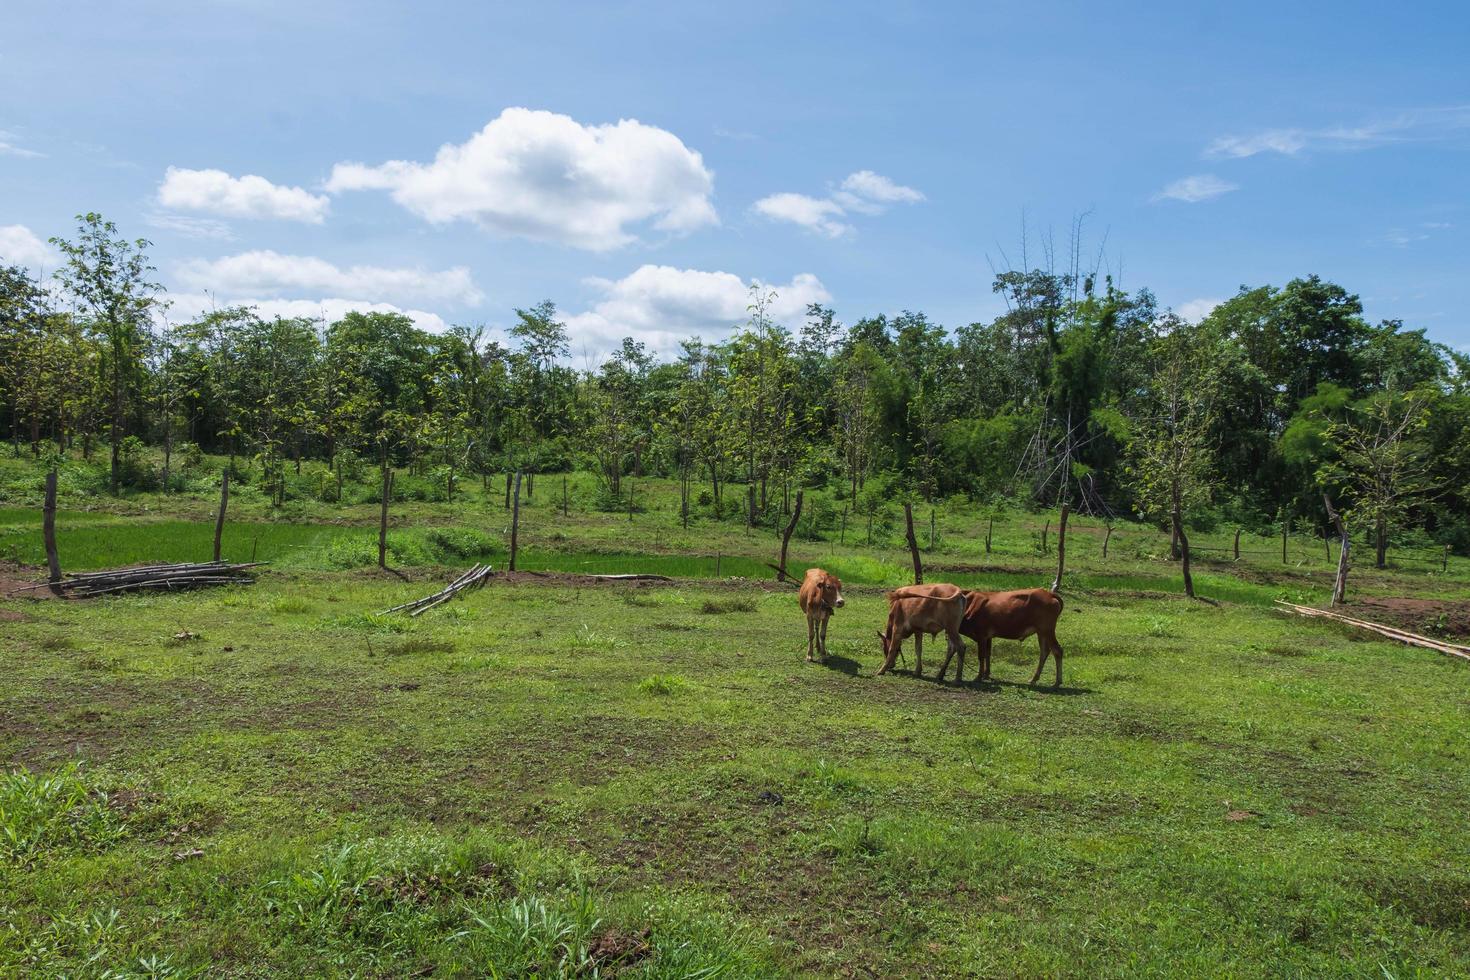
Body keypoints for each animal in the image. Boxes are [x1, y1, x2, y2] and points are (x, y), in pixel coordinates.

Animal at [940, 590, 1070, 690]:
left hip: (1047, 630)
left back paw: (1057, 682)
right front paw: (986, 675)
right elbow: (988, 654)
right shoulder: (988, 637)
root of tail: (1049, 594)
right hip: (1041, 632)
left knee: (1057, 651)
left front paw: (979, 677)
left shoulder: (982, 636)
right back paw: (1034, 678)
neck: (970, 606)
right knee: (1044, 652)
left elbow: (981, 656)